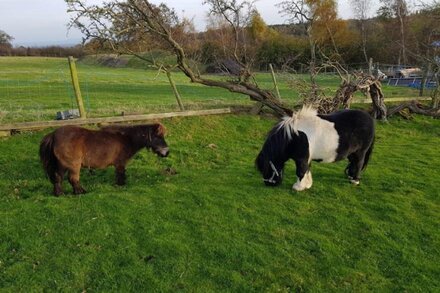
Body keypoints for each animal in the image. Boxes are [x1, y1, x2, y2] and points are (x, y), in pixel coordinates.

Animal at [38, 122, 169, 195]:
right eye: (158, 136)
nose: (167, 152)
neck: (126, 138)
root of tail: (53, 135)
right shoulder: (120, 163)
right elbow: (121, 174)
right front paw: (121, 185)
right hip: (73, 165)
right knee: (73, 179)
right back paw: (80, 192)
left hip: (61, 165)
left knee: (57, 177)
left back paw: (59, 194)